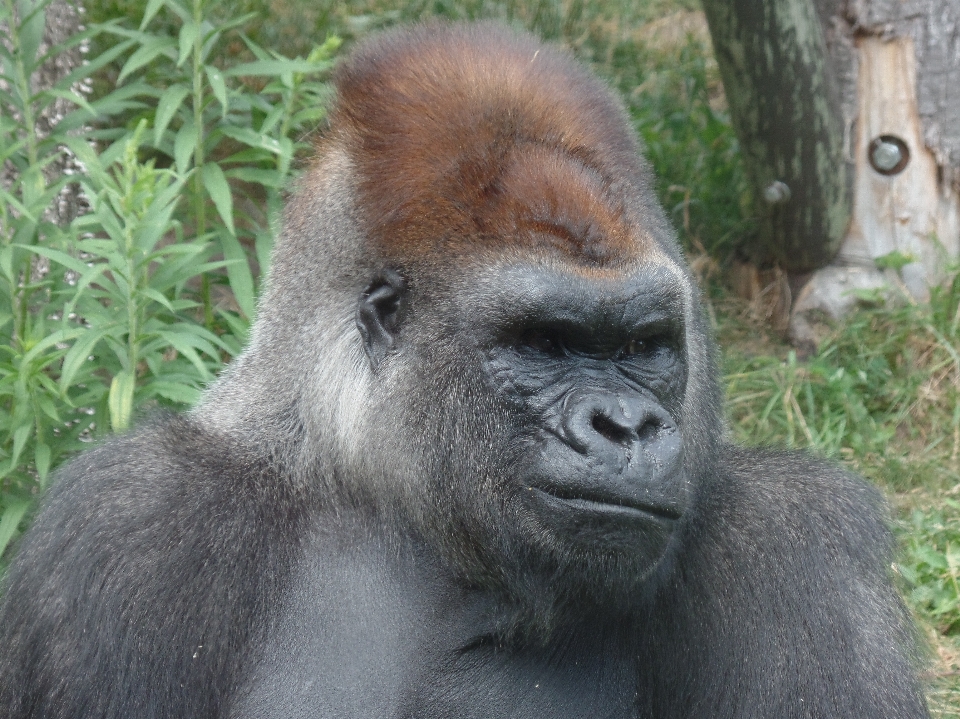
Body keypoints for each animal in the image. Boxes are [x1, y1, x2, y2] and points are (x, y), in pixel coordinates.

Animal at [0, 19, 928, 716]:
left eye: (640, 347)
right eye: (545, 343)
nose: (625, 424)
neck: (389, 494)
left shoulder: (790, 547)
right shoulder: (127, 525)